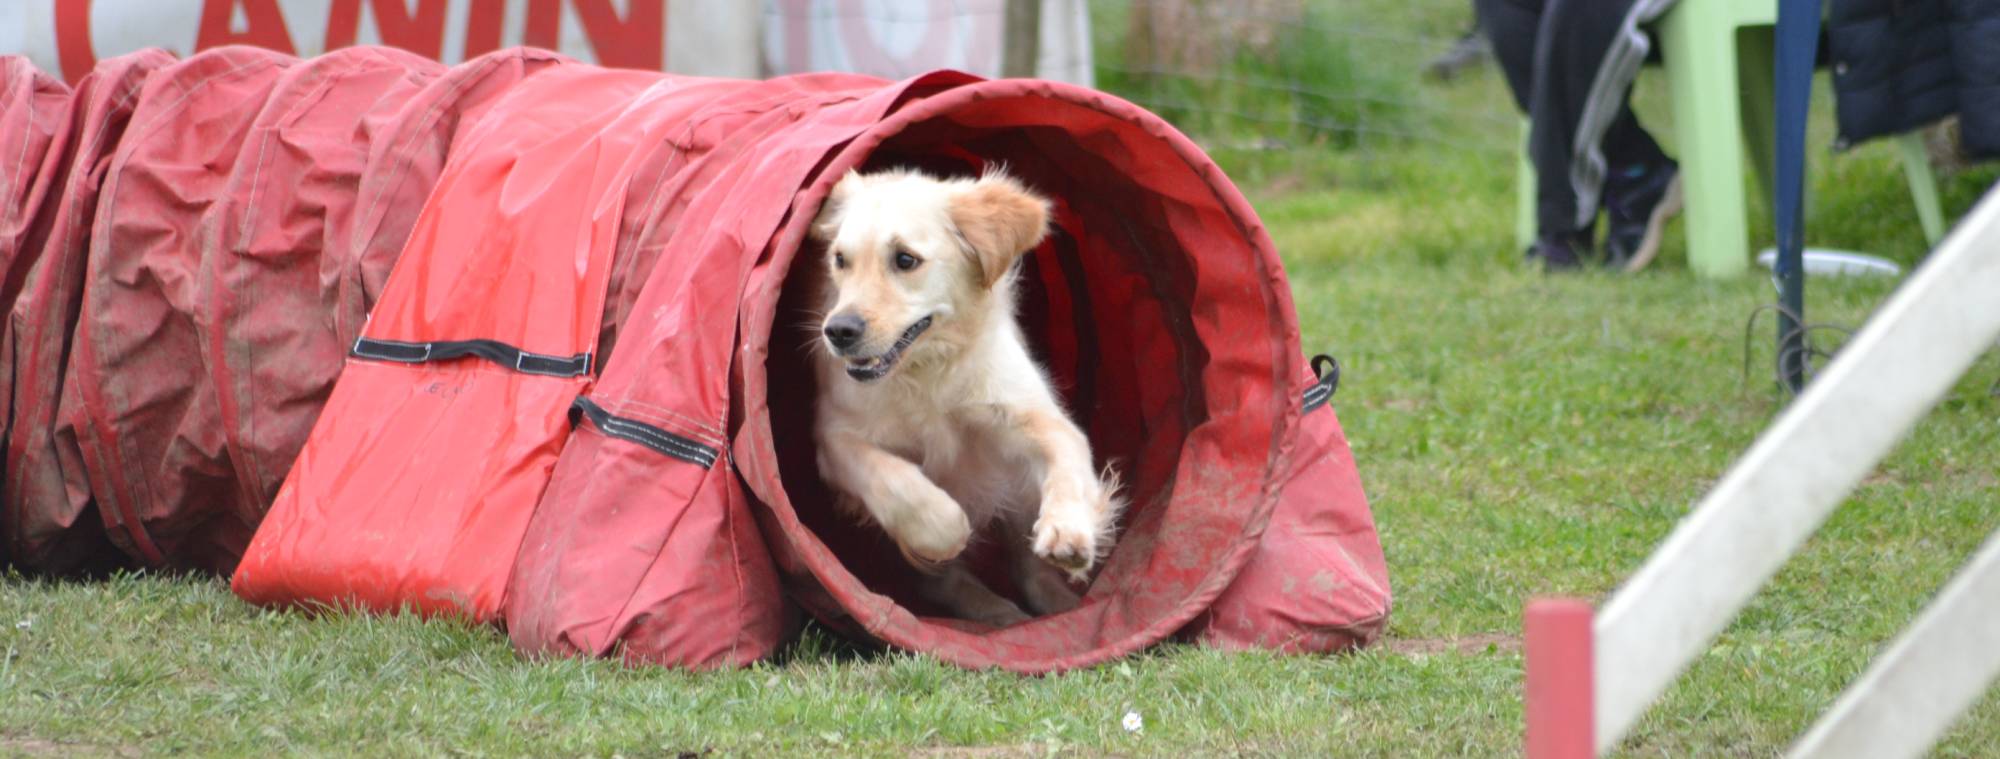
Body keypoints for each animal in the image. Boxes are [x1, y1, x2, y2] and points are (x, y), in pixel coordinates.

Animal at [812, 168, 1128, 627]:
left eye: (905, 259)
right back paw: (999, 612)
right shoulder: (834, 435)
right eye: (840, 259)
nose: (838, 331)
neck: (925, 370)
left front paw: (1069, 532)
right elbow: (893, 479)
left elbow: (1068, 457)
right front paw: (947, 533)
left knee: (1029, 569)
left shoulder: (1030, 413)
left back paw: (1054, 607)